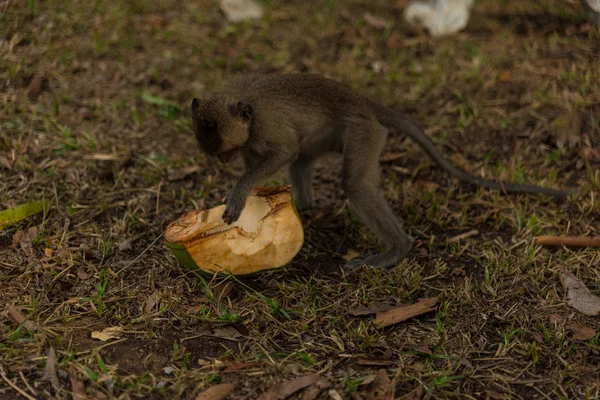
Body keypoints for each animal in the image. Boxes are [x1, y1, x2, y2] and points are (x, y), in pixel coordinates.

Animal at [191, 73, 576, 270]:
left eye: (223, 152)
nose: (223, 163)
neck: (239, 100)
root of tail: (363, 102)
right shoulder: (249, 141)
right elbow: (272, 159)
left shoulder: (266, 126)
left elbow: (284, 152)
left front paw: (240, 194)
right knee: (305, 160)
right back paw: (310, 208)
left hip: (365, 131)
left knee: (355, 184)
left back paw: (397, 249)